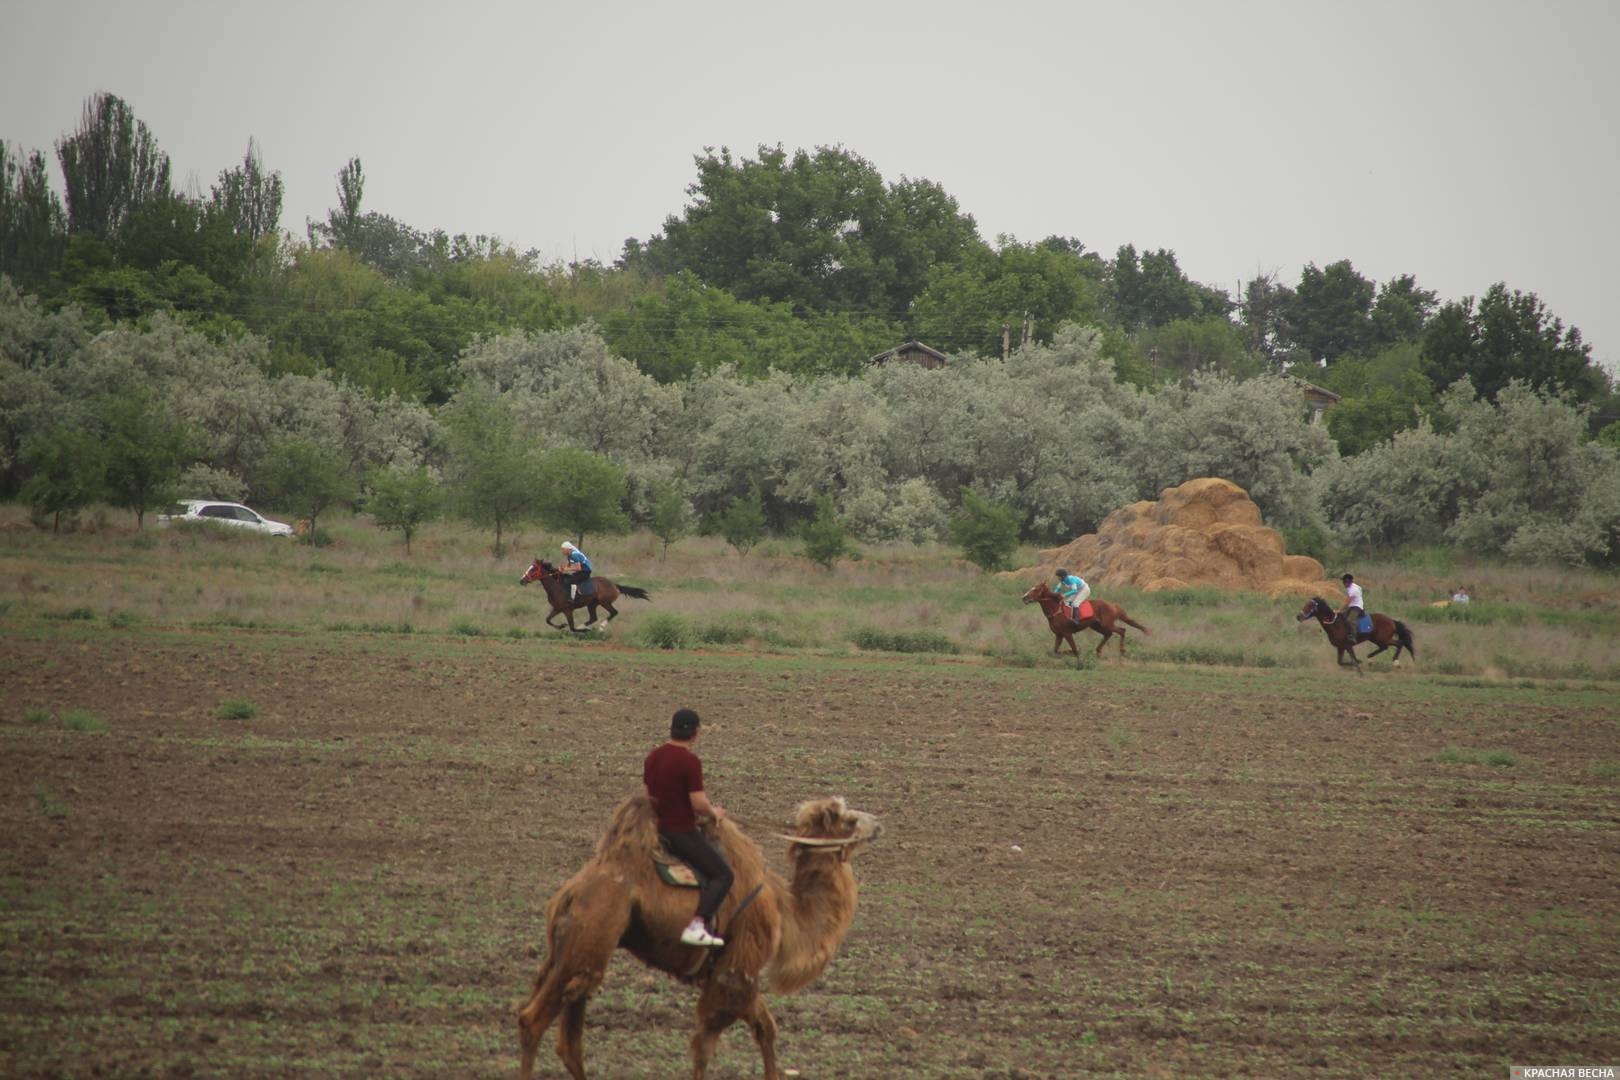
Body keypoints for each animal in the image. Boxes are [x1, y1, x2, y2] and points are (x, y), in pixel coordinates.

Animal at [515, 557, 648, 634]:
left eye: (533, 569)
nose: (522, 580)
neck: (556, 587)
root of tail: (614, 585)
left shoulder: (568, 610)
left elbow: (572, 627)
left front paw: (583, 630)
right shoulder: (557, 608)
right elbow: (547, 620)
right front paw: (562, 626)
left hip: (604, 601)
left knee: (614, 612)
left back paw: (601, 627)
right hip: (592, 604)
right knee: (593, 617)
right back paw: (584, 625)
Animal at [515, 793, 874, 1080]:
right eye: (848, 819)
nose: (877, 824)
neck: (785, 910)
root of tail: (571, 893)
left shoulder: (732, 972)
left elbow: (765, 1029)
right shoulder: (736, 970)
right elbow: (706, 1043)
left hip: (575, 951)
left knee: (569, 1040)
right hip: (590, 937)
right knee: (532, 1021)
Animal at [1017, 582, 1146, 660]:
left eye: (1036, 589)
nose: (1024, 597)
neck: (1055, 610)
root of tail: (1112, 605)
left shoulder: (1067, 633)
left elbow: (1074, 650)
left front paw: (1073, 652)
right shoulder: (1059, 634)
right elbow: (1055, 651)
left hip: (1106, 624)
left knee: (1121, 630)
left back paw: (1122, 650)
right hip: (1097, 626)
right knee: (1108, 634)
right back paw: (1098, 651)